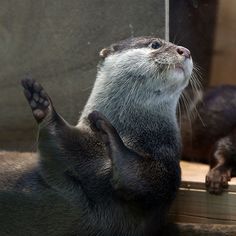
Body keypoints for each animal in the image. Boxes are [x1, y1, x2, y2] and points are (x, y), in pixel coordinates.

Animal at [0, 36, 194, 235]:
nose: (186, 50)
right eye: (155, 44)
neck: (131, 134)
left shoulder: (167, 168)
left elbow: (143, 181)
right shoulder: (75, 141)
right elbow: (57, 139)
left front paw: (106, 129)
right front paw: (41, 102)